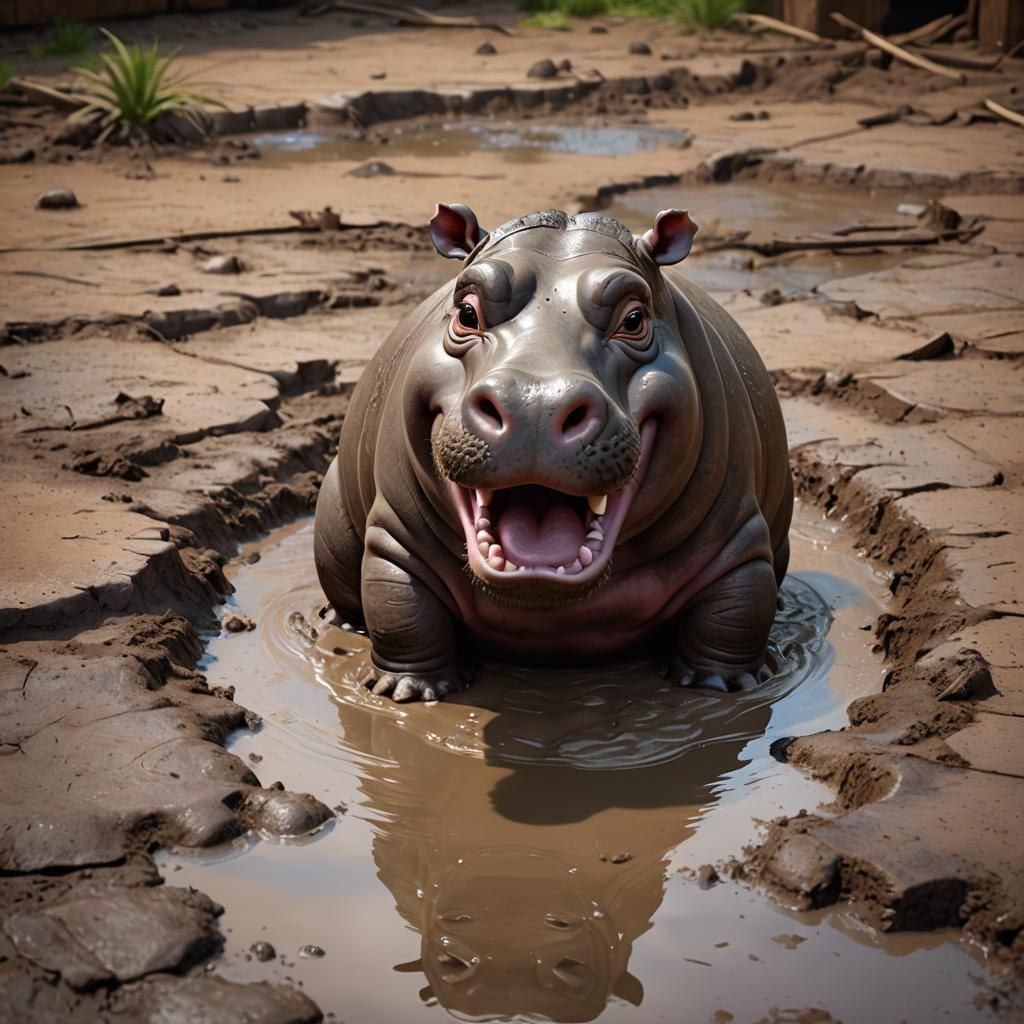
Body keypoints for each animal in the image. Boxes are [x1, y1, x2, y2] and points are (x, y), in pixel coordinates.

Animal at [314, 204, 793, 702]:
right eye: (466, 311)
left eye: (635, 319)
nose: (535, 400)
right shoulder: (395, 535)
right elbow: (400, 605)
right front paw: (409, 690)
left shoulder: (738, 538)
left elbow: (734, 610)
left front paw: (718, 684)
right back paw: (339, 624)